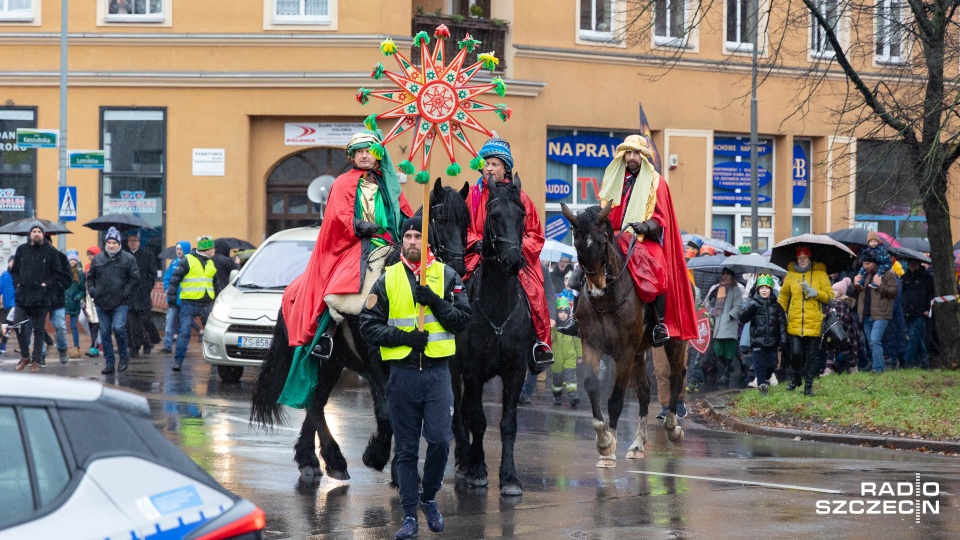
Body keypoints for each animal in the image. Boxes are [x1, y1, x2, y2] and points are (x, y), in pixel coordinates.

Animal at [249, 180, 470, 480]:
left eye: (466, 222)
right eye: (440, 219)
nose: (458, 269)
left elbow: (448, 412)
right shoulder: (377, 363)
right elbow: (388, 413)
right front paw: (377, 457)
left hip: (332, 364)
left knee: (315, 403)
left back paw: (314, 459)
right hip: (319, 361)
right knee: (314, 404)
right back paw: (332, 459)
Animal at [560, 202, 688, 468]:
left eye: (602, 242)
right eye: (577, 244)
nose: (597, 289)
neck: (608, 300)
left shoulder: (624, 352)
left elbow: (616, 399)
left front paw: (608, 448)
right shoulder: (592, 345)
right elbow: (592, 386)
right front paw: (604, 439)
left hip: (674, 343)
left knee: (676, 377)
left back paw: (672, 427)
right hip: (639, 353)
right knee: (644, 392)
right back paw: (638, 444)